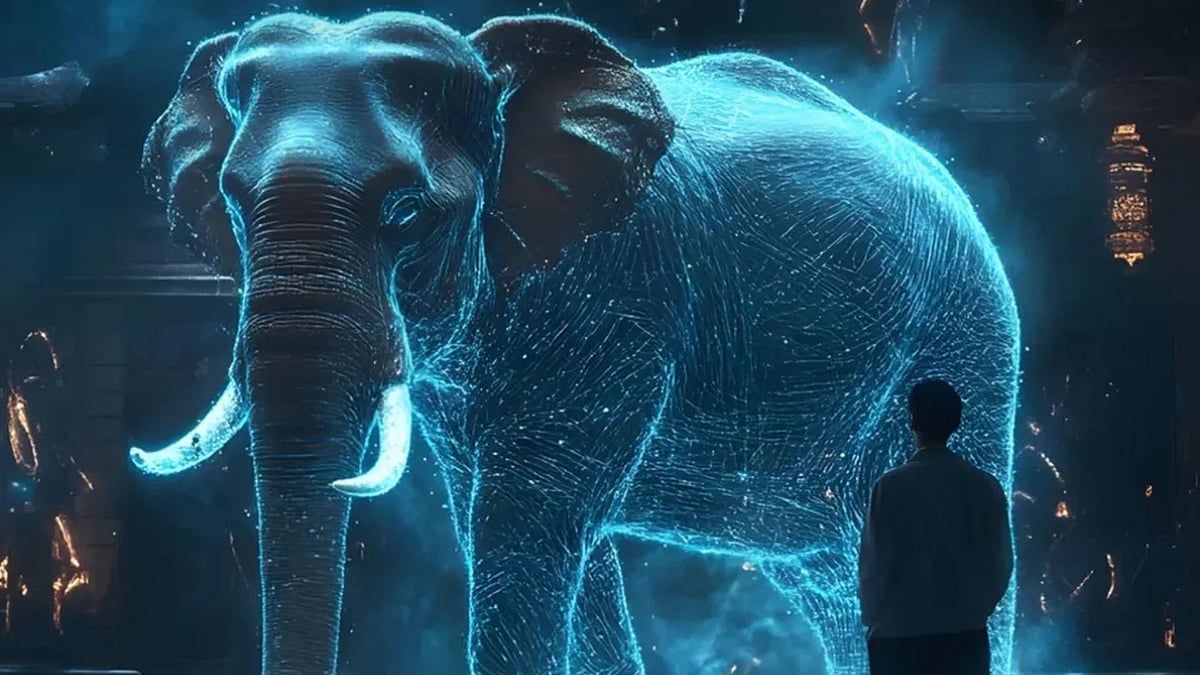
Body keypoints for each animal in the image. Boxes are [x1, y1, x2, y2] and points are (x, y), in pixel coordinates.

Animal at [129, 11, 1021, 675]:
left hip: (969, 331)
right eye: (232, 203)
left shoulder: (618, 297)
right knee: (832, 580)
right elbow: (540, 539)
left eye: (408, 212)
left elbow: (525, 526)